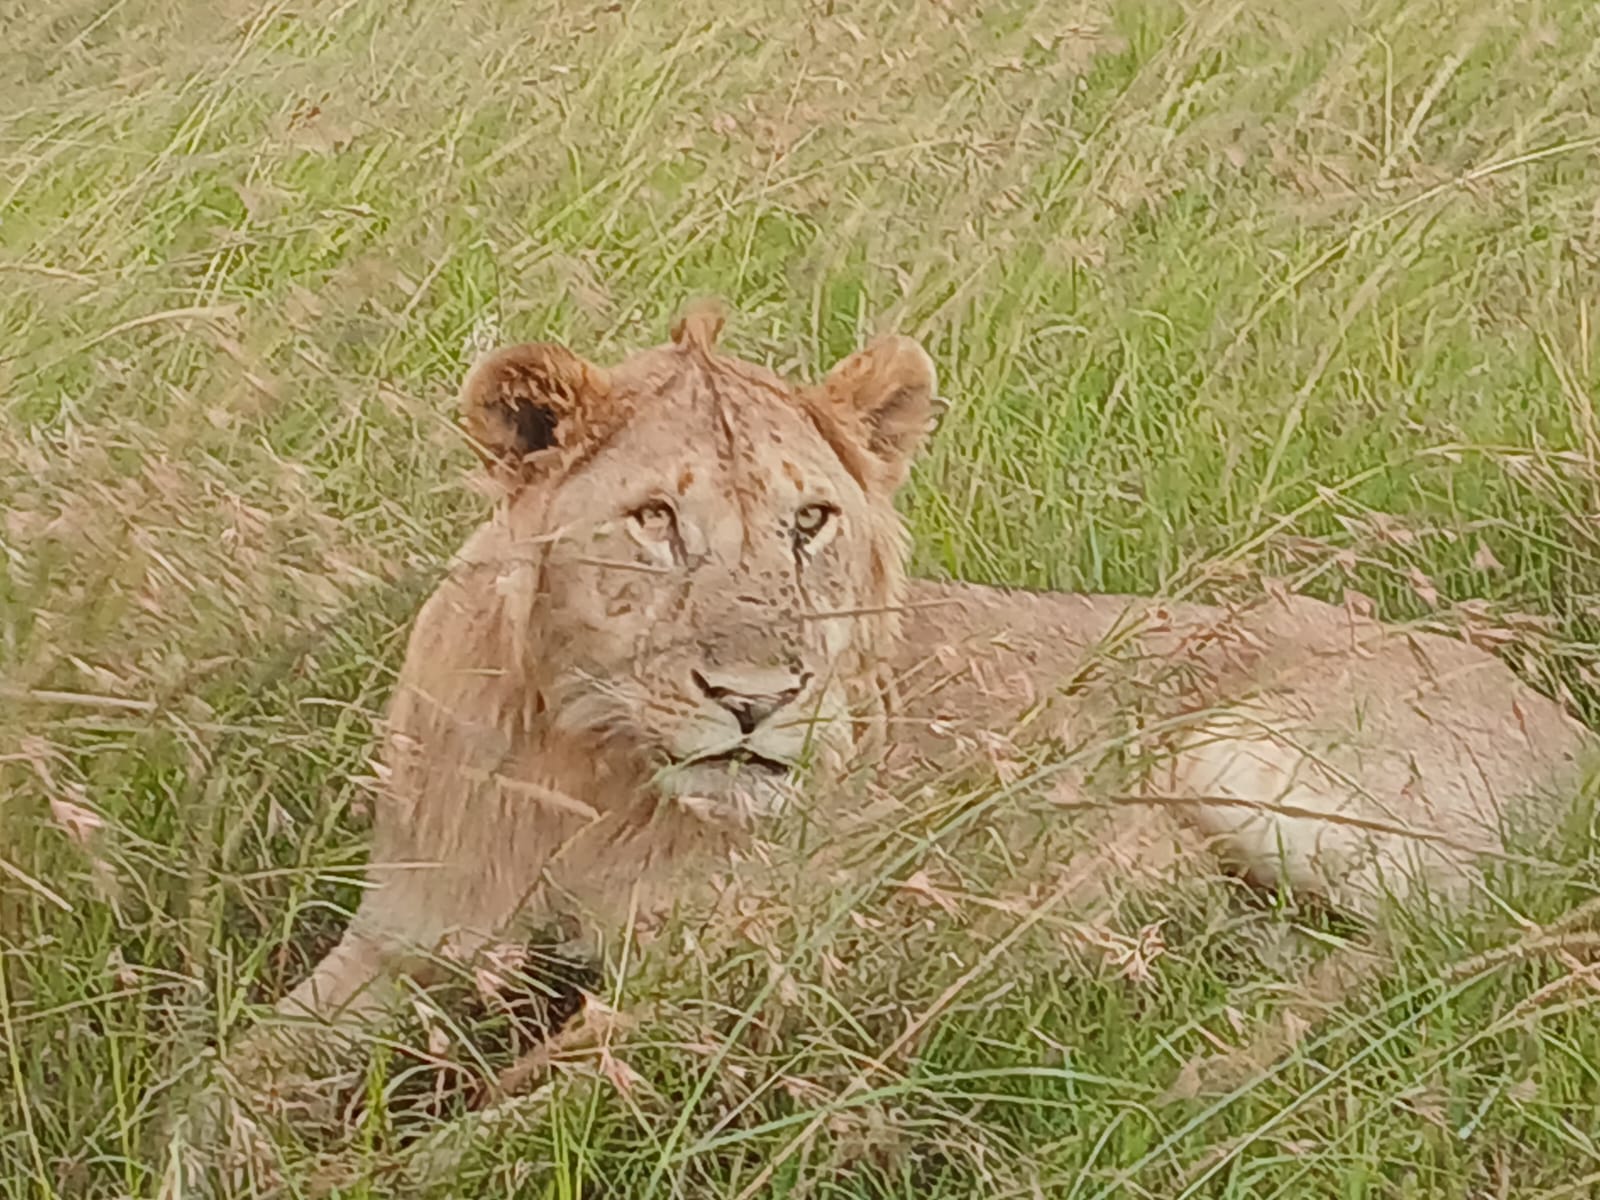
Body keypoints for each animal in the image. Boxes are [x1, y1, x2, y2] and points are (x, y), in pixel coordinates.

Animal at [209, 300, 1592, 1158]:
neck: (595, 771)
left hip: (1244, 752)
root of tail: (1563, 723)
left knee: (1462, 946)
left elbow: (503, 1118)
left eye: (810, 522)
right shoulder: (407, 943)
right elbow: (222, 1078)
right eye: (655, 520)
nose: (757, 697)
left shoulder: (731, 983)